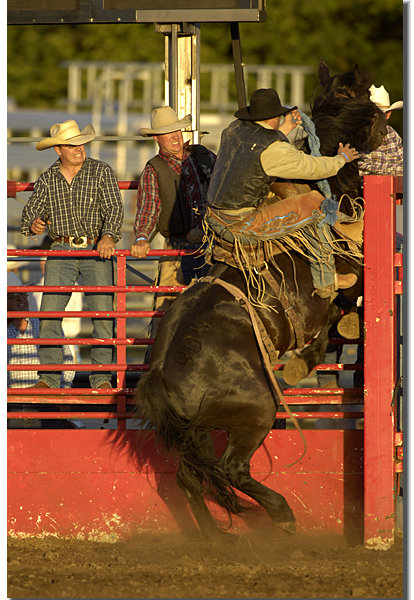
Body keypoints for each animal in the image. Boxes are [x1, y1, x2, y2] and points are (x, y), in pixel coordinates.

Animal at [133, 63, 387, 541]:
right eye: (371, 104)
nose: (387, 127)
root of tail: (161, 375)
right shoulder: (348, 273)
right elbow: (342, 305)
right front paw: (307, 359)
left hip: (196, 430)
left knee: (190, 476)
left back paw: (216, 538)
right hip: (254, 412)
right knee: (231, 469)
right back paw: (282, 516)